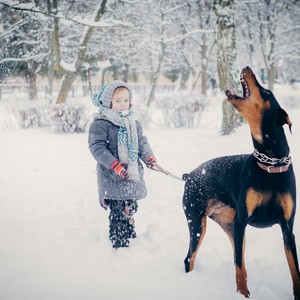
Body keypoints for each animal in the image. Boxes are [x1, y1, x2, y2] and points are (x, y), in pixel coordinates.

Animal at [183, 65, 300, 298]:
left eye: (266, 92)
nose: (247, 68)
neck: (272, 164)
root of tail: (190, 174)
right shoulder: (242, 220)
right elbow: (240, 268)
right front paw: (242, 294)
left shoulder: (287, 227)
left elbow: (296, 272)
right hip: (198, 222)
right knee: (190, 257)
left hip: (230, 225)